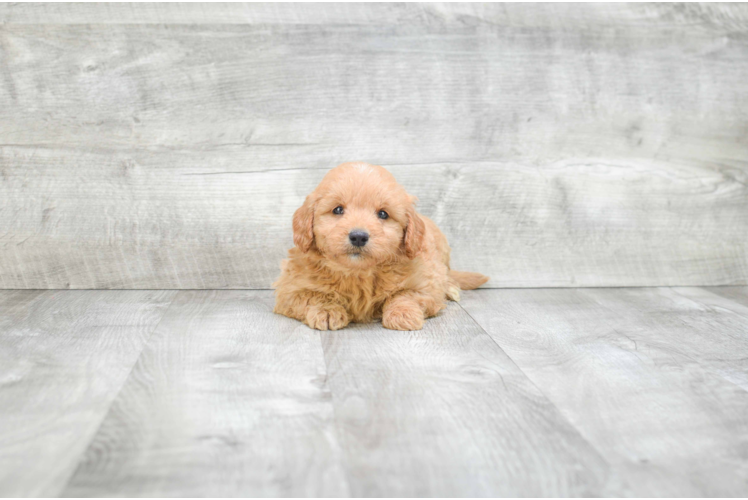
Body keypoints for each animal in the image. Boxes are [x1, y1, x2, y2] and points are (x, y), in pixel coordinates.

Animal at [272, 162, 488, 330]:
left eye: (383, 214)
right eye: (338, 210)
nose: (358, 236)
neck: (358, 273)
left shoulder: (427, 284)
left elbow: (405, 294)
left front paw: (403, 314)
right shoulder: (290, 289)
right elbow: (313, 295)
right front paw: (327, 310)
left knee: (447, 274)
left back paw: (450, 288)